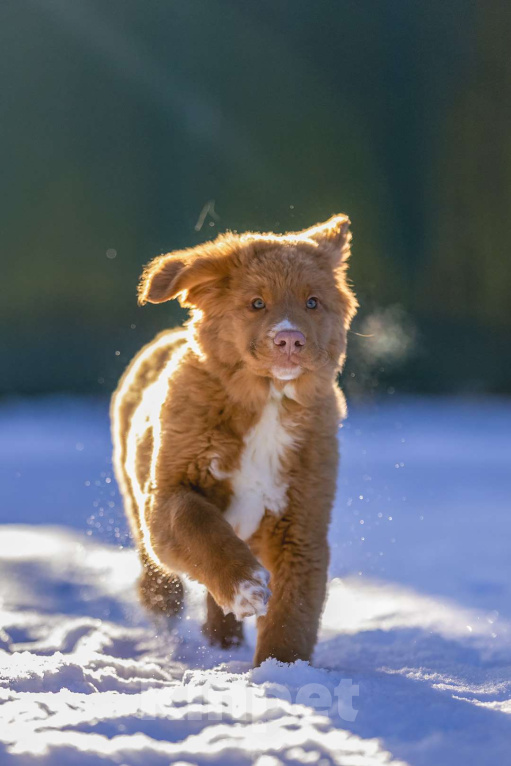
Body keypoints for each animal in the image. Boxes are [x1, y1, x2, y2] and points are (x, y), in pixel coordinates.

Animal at [110, 214, 358, 664]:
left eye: (312, 302)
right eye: (257, 303)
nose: (290, 339)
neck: (269, 402)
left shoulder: (303, 523)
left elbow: (294, 609)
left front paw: (282, 668)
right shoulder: (169, 492)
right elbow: (197, 526)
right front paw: (245, 586)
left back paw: (222, 639)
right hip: (133, 494)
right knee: (154, 562)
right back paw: (164, 601)